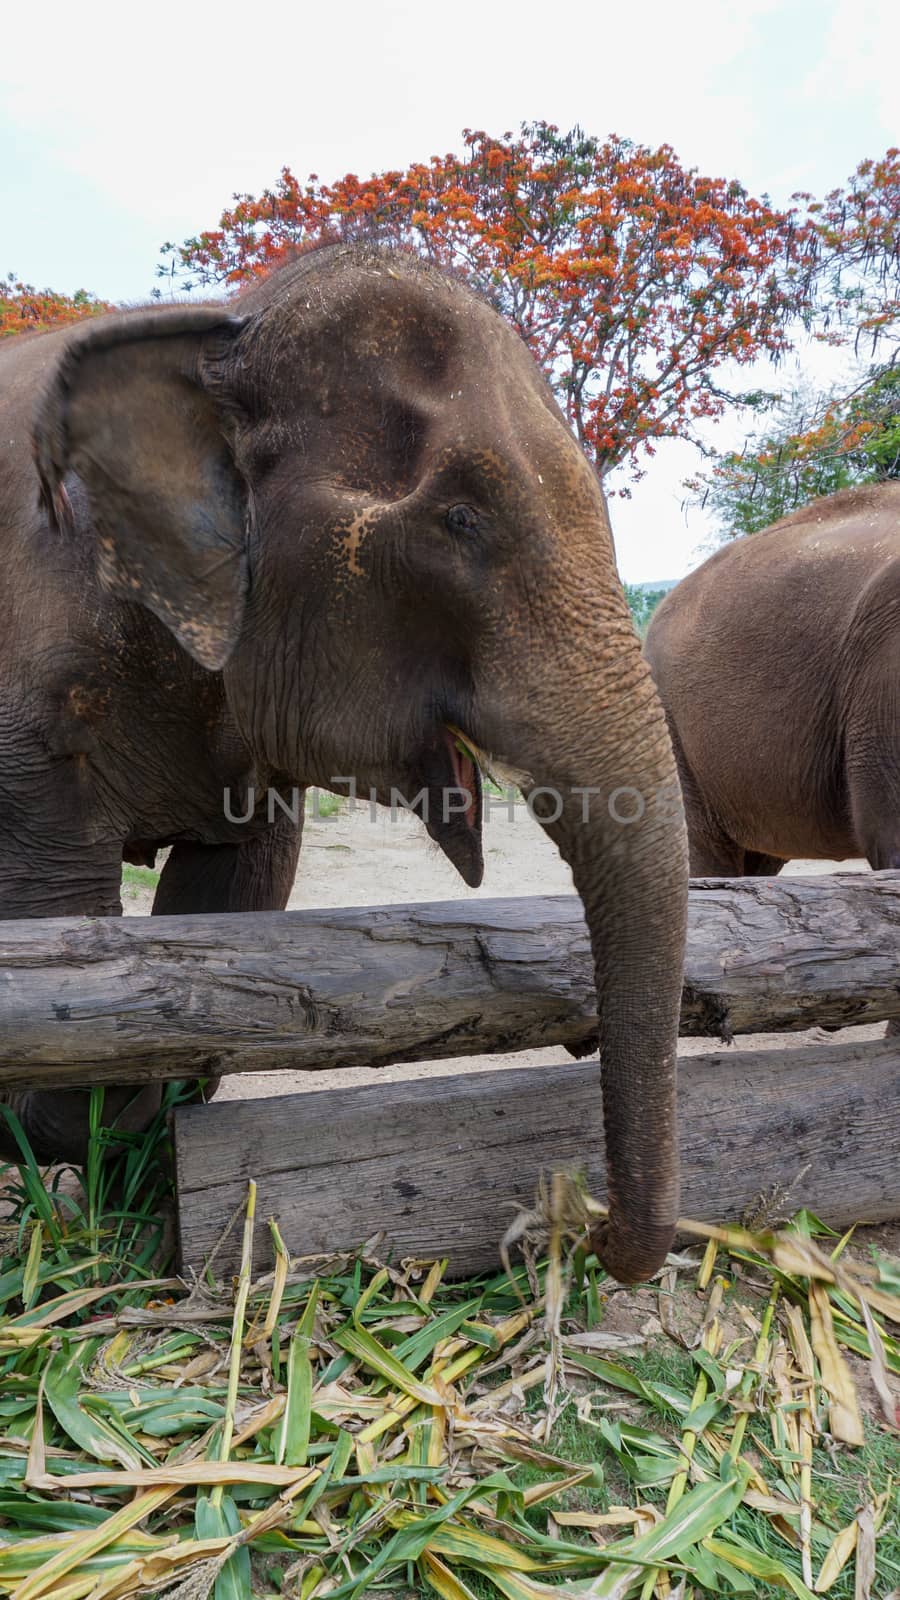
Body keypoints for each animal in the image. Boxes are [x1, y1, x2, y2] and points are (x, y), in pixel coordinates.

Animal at [1, 240, 685, 1286]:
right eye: (460, 519)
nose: (583, 1224)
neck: (229, 328)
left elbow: (230, 893)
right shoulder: (35, 709)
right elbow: (57, 934)